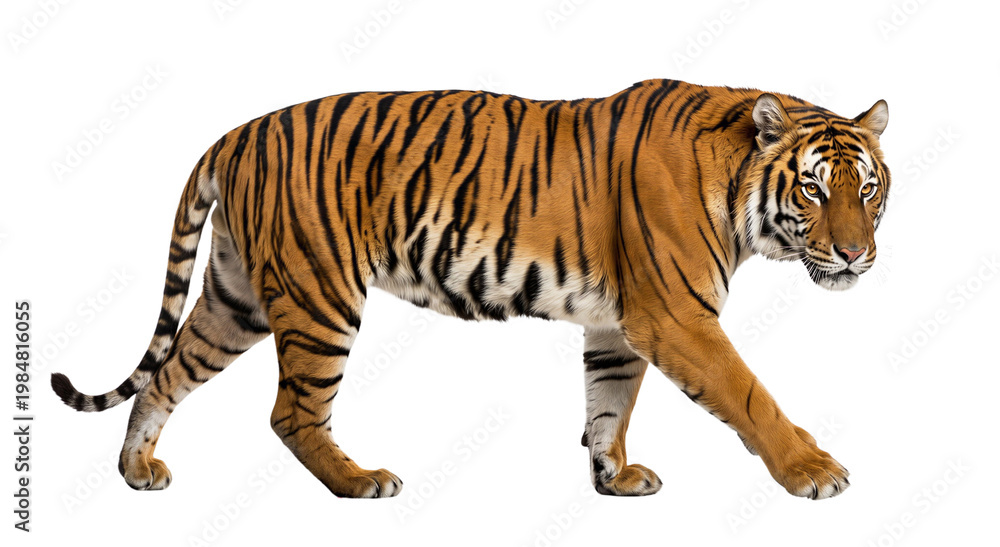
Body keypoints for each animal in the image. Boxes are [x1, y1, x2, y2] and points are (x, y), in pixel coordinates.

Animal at [51, 78, 889, 500]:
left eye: (869, 188)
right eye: (814, 189)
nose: (857, 255)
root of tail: (235, 133)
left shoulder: (618, 325)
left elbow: (608, 405)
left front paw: (613, 476)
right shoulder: (678, 317)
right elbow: (751, 395)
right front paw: (814, 471)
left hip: (238, 297)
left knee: (167, 372)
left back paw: (136, 471)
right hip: (321, 296)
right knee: (291, 411)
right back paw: (359, 481)